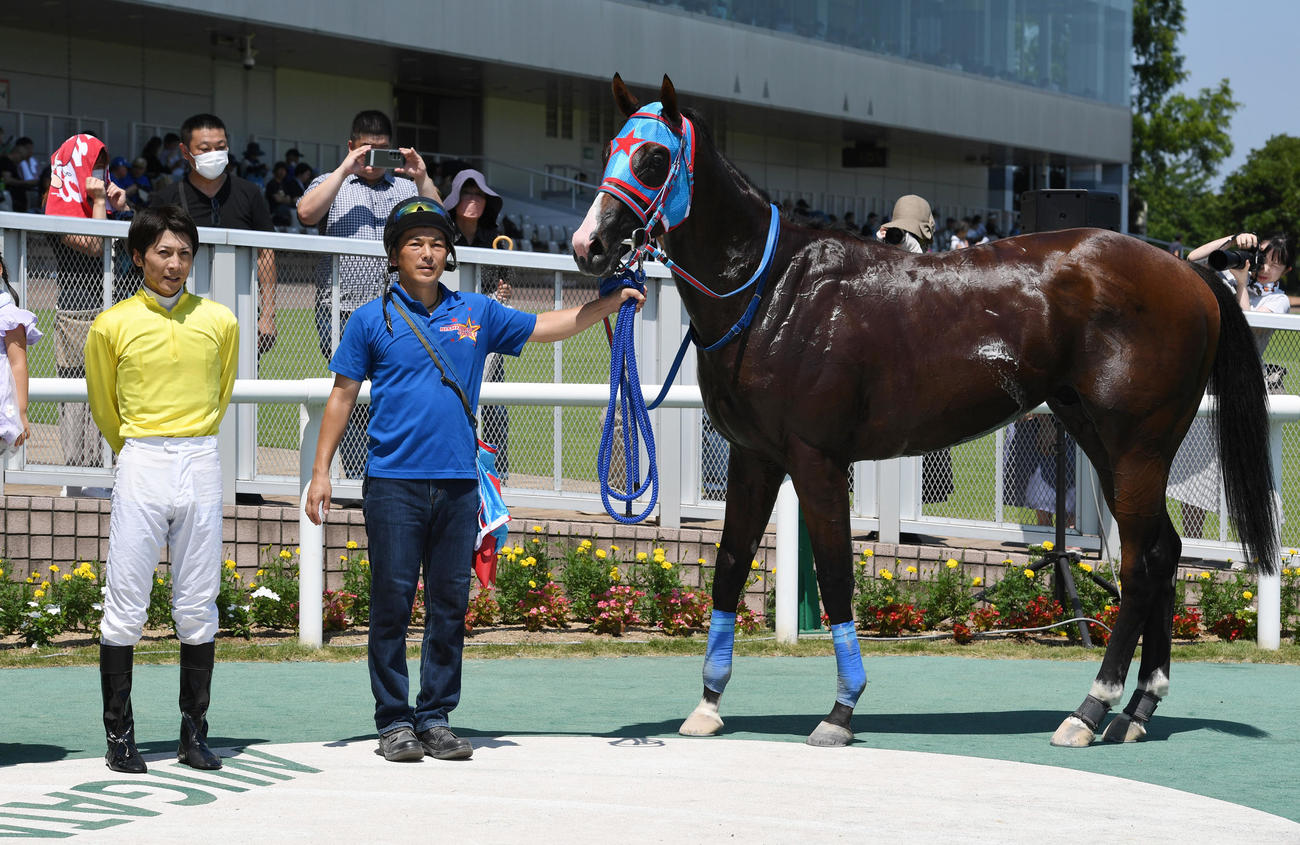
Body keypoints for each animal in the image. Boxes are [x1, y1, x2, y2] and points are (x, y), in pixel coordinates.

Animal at [571, 74, 1278, 748]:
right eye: (607, 149)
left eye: (656, 158)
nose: (589, 246)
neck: (773, 289)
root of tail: (1189, 273)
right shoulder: (754, 456)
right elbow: (727, 570)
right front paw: (708, 705)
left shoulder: (817, 459)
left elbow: (835, 576)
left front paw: (841, 710)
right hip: (1099, 436)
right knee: (1163, 550)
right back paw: (1138, 707)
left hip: (1136, 445)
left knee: (1136, 564)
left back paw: (1090, 709)